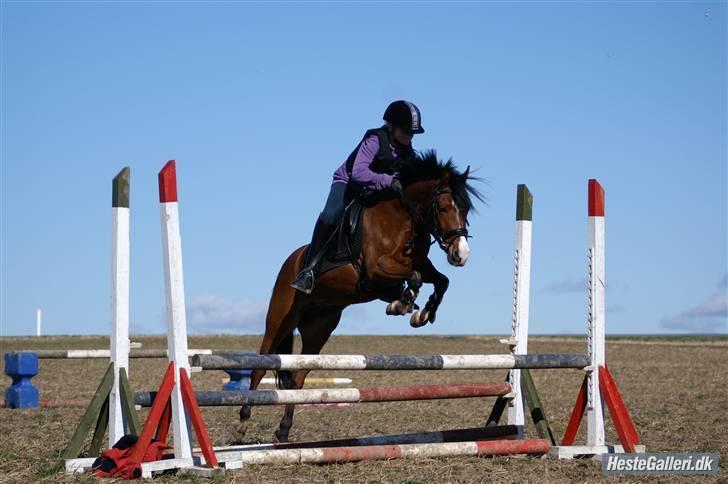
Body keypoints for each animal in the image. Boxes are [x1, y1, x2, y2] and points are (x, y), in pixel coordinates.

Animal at [237, 150, 485, 442]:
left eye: (466, 209)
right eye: (444, 208)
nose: (461, 255)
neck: (403, 220)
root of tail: (292, 261)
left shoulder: (419, 265)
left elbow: (439, 280)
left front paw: (422, 312)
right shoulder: (375, 273)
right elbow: (411, 277)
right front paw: (402, 303)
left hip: (319, 327)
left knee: (298, 376)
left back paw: (283, 431)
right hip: (280, 318)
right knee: (261, 364)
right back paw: (242, 425)